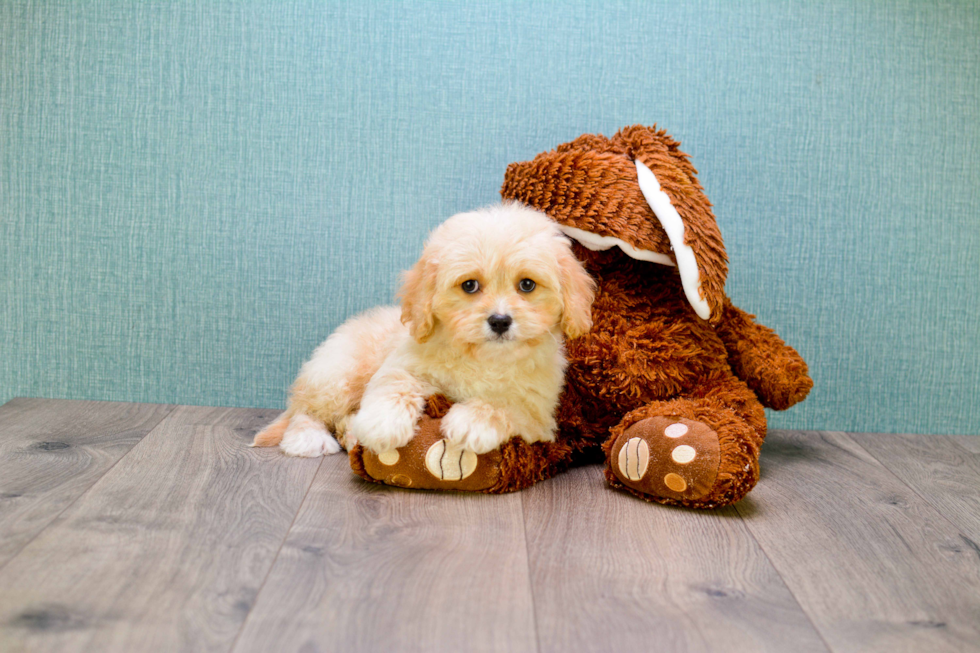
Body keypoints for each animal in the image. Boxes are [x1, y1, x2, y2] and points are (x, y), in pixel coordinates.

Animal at [253, 201, 592, 456]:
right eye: (469, 286)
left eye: (527, 285)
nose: (499, 320)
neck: (482, 359)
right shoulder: (403, 364)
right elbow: (394, 386)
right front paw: (382, 425)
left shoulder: (539, 414)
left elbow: (505, 405)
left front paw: (472, 423)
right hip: (337, 375)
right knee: (306, 411)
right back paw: (310, 438)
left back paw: (349, 435)